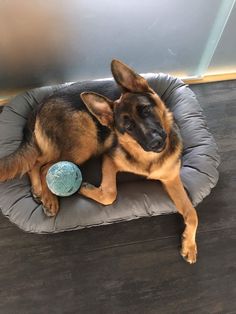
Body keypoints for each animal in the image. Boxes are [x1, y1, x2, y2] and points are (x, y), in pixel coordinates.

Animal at [0, 60, 197, 264]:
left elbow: (192, 213)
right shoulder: (109, 159)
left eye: (146, 110)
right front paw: (84, 188)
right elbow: (110, 194)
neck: (149, 159)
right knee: (45, 167)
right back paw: (49, 199)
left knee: (35, 162)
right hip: (85, 144)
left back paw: (39, 192)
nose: (156, 142)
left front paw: (189, 246)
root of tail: (41, 103)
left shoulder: (171, 179)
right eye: (128, 127)